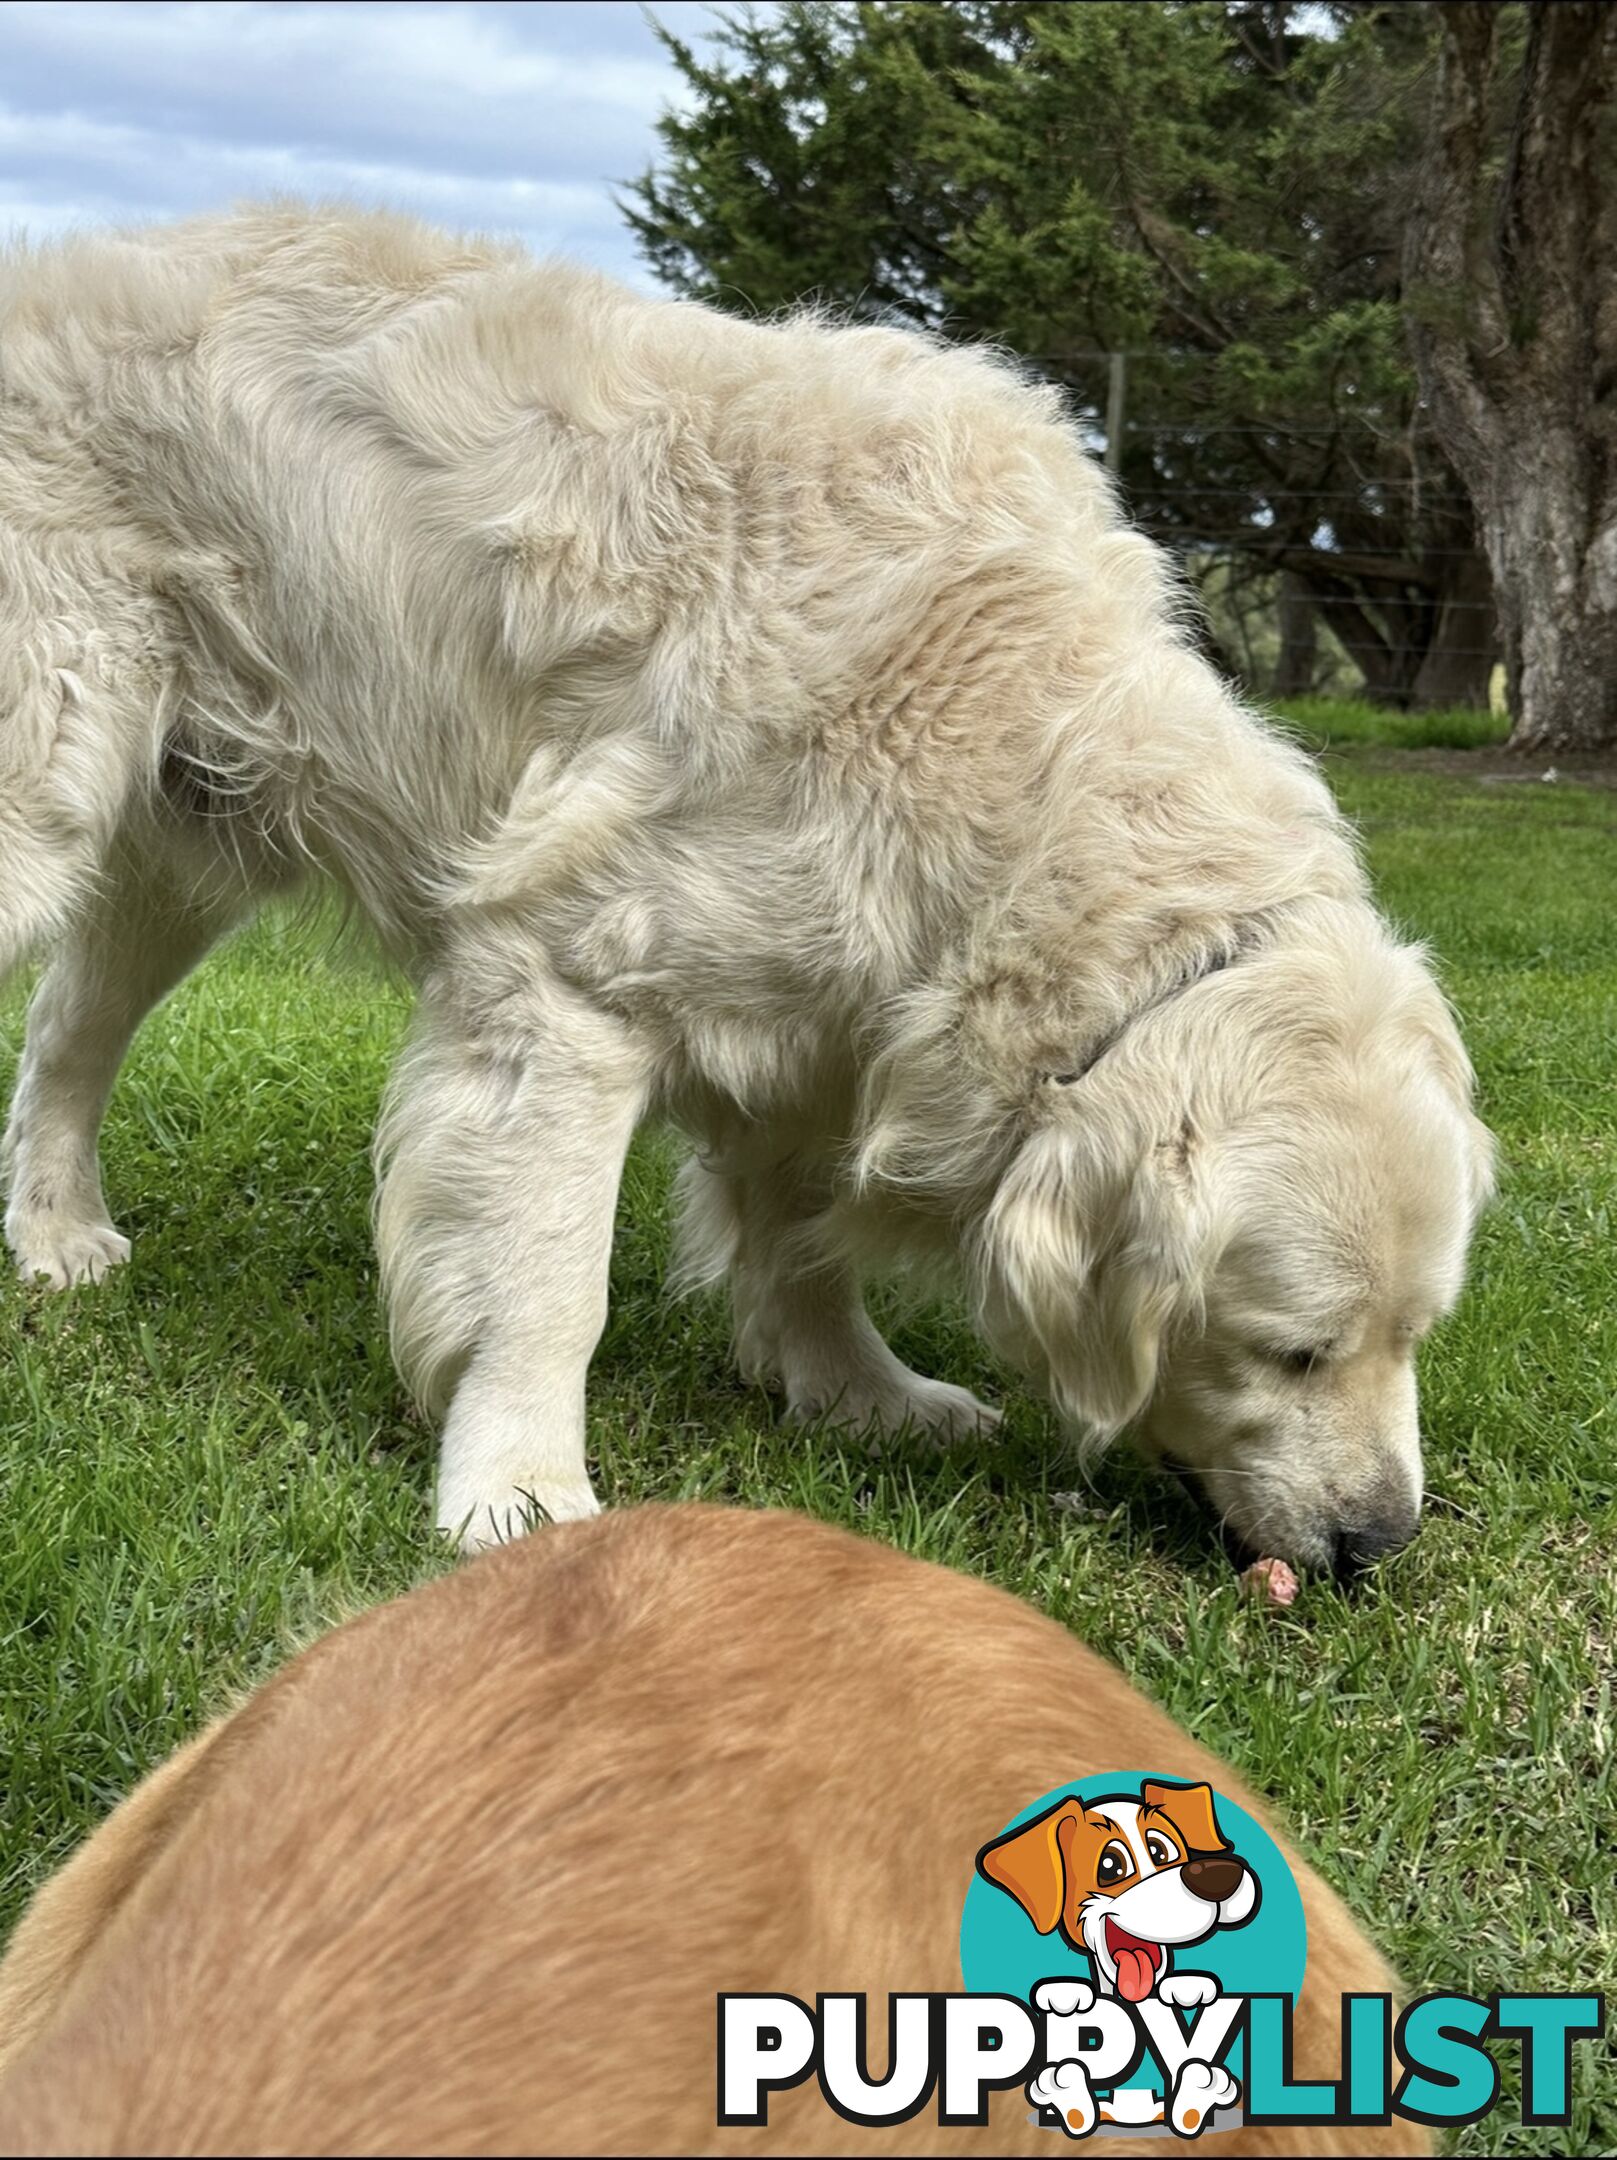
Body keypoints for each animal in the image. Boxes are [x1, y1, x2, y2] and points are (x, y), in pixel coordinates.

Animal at [0, 206, 1485, 1572]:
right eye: (1291, 1350)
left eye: (1414, 1337)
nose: (1379, 1544)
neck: (1013, 763)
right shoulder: (567, 982)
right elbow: (549, 1277)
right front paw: (521, 1489)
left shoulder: (834, 1025)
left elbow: (803, 1234)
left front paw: (858, 1391)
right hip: (48, 785)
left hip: (183, 839)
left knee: (68, 1033)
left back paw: (55, 1234)